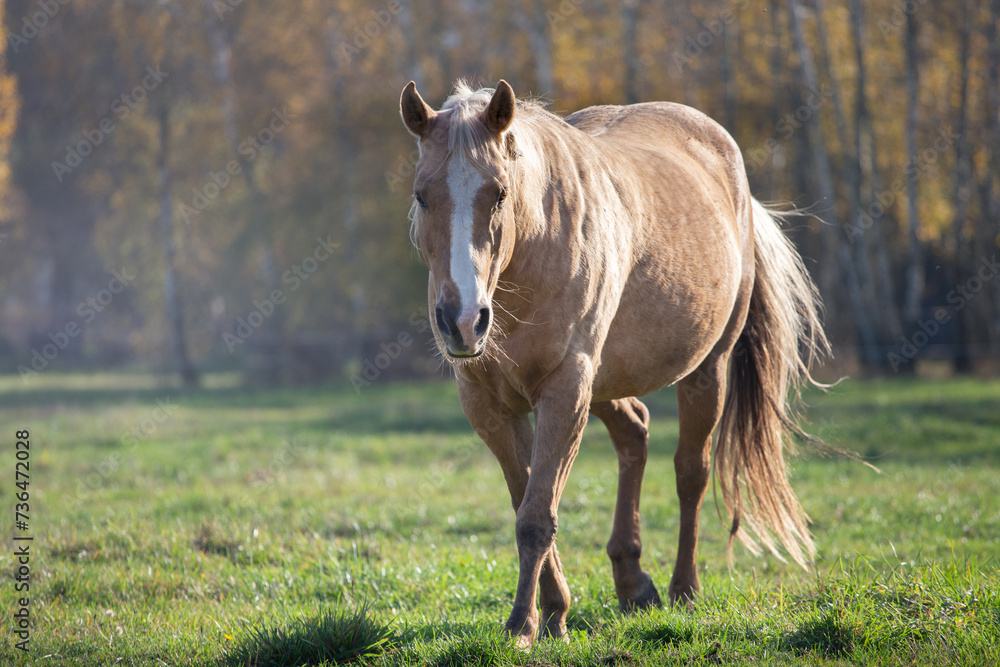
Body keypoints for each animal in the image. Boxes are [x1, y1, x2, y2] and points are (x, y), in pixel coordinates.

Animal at [399, 79, 829, 647]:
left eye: (499, 193)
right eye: (422, 196)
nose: (462, 321)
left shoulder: (565, 392)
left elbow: (537, 515)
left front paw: (522, 624)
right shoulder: (489, 405)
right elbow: (526, 500)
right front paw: (553, 612)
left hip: (704, 370)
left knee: (691, 471)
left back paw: (683, 589)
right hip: (605, 385)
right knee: (635, 434)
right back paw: (633, 583)